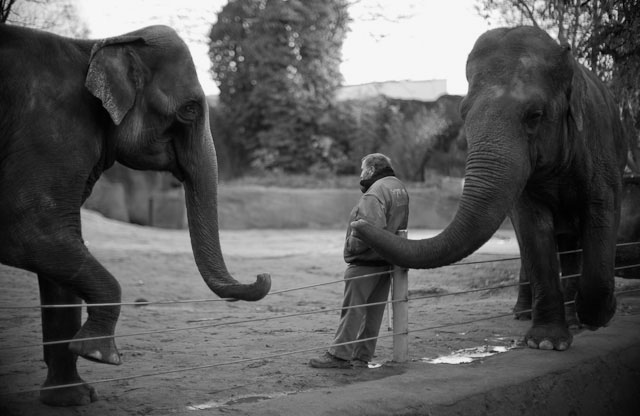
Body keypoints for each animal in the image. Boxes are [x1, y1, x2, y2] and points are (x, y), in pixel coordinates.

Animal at [0, 24, 270, 404]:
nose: (262, 275)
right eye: (189, 109)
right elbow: (28, 232)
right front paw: (99, 355)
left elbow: (58, 253)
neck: (100, 45)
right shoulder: (49, 132)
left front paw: (73, 398)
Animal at [350, 26, 624, 352]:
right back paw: (526, 314)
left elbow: (602, 211)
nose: (356, 223)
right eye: (463, 113)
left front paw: (597, 315)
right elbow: (533, 227)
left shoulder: (599, 146)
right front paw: (546, 342)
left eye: (535, 115)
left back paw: (573, 316)